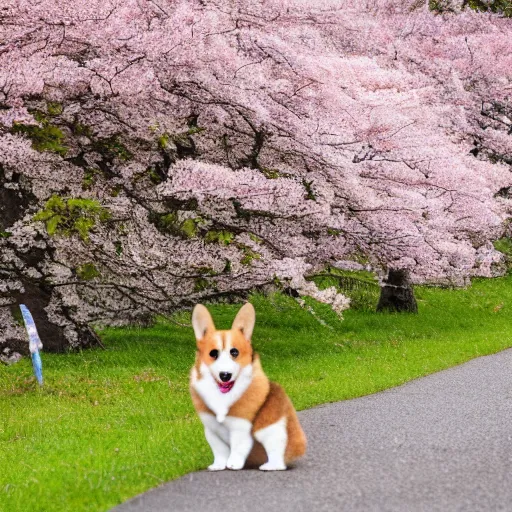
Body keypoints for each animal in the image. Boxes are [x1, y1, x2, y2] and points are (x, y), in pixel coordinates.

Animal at [190, 302, 306, 470]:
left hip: (270, 430)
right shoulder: (211, 429)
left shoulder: (241, 426)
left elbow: (239, 446)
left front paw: (233, 464)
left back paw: (270, 466)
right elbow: (219, 450)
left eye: (234, 352)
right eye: (213, 353)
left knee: (277, 452)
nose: (225, 375)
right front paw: (218, 465)